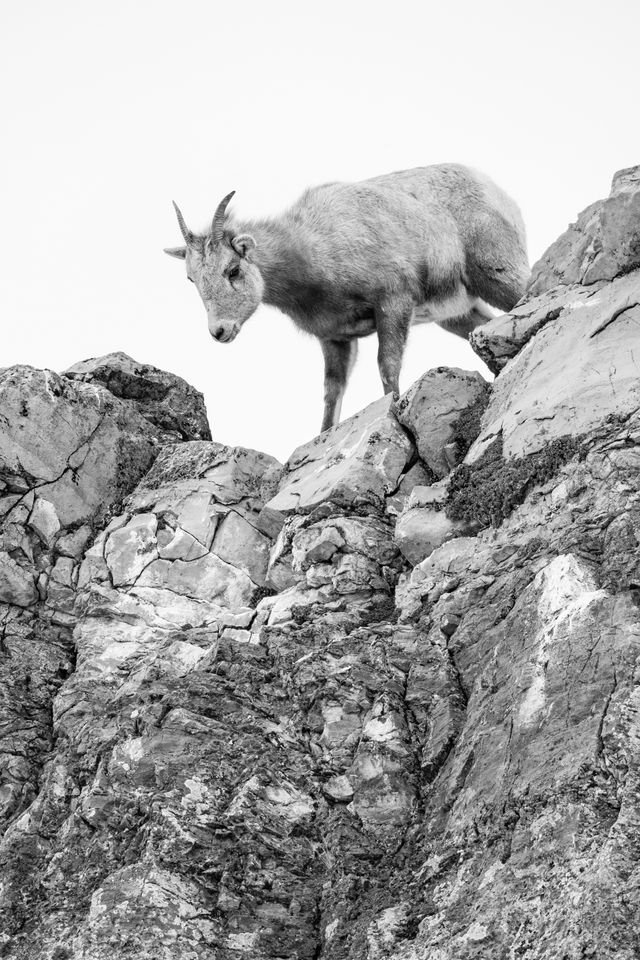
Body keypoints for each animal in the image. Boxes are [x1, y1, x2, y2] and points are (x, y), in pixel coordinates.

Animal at [165, 165, 528, 432]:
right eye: (191, 278)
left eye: (233, 269)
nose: (219, 331)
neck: (317, 249)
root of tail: (497, 191)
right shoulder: (335, 339)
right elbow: (332, 393)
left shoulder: (393, 302)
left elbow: (387, 368)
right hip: (458, 315)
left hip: (498, 275)